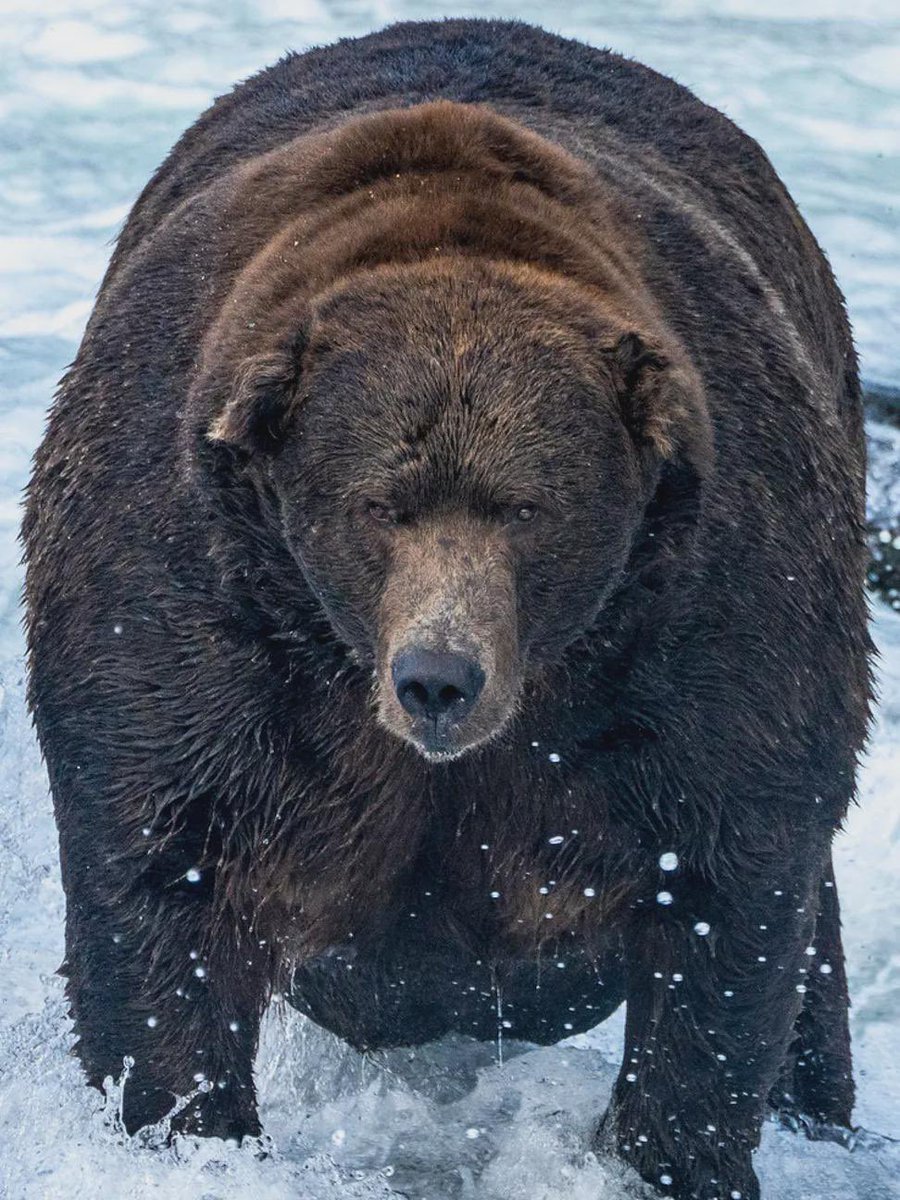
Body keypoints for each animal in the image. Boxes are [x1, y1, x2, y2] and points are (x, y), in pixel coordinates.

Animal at [22, 18, 870, 1200]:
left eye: (526, 506)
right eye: (380, 503)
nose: (439, 677)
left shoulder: (711, 609)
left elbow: (724, 893)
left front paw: (674, 1151)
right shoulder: (192, 600)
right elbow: (164, 876)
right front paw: (188, 1126)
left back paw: (818, 1107)